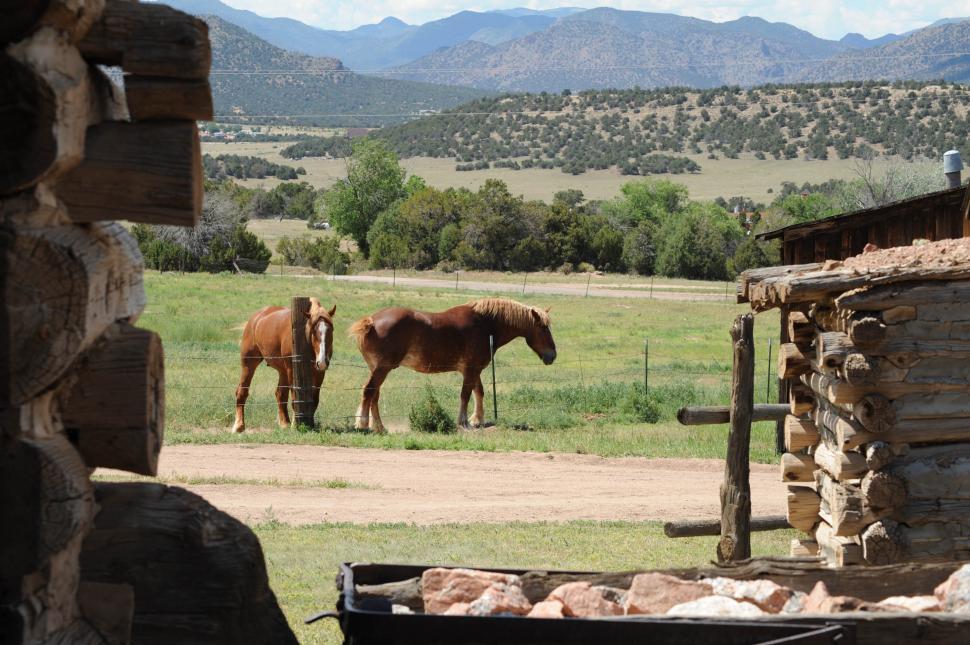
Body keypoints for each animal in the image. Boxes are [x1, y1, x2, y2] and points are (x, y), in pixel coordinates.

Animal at [232, 298, 336, 433]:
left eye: (331, 330)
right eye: (314, 331)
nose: (322, 361)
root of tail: (255, 318)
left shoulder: (319, 373)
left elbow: (314, 400)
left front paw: (310, 424)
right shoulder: (292, 370)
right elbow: (295, 398)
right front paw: (296, 425)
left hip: (283, 371)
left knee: (280, 394)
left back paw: (284, 423)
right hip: (249, 364)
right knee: (242, 391)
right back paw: (239, 425)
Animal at [348, 297, 556, 433]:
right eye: (543, 328)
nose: (552, 355)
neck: (485, 324)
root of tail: (371, 322)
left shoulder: (474, 370)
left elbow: (478, 393)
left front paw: (477, 420)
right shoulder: (471, 370)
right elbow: (465, 395)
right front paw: (463, 422)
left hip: (378, 369)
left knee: (374, 395)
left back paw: (380, 427)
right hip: (382, 369)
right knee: (369, 391)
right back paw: (363, 424)